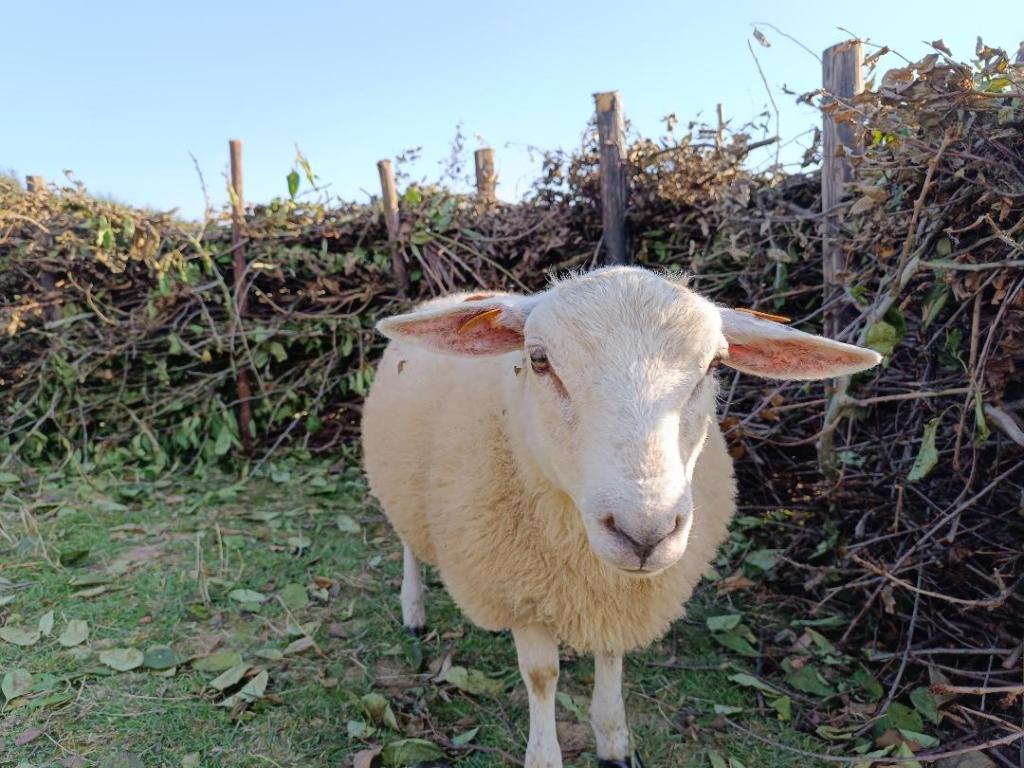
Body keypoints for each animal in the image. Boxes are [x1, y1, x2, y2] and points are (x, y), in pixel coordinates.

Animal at [361, 266, 880, 768]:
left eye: (714, 365)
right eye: (539, 359)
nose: (644, 532)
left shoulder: (616, 597)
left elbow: (610, 654)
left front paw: (614, 743)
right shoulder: (518, 588)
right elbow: (542, 675)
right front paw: (544, 755)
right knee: (409, 545)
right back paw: (413, 611)